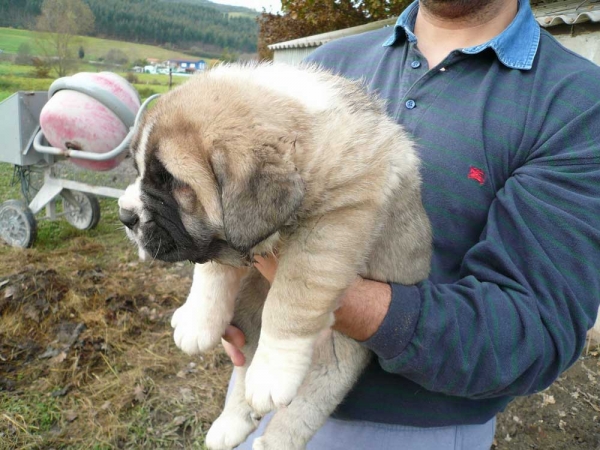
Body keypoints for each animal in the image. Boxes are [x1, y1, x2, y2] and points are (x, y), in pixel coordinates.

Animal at [119, 63, 432, 450]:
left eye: (171, 183)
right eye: (140, 172)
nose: (125, 216)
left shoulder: (338, 218)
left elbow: (292, 298)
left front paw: (274, 370)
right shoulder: (226, 241)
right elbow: (211, 272)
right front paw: (197, 320)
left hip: (336, 359)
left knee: (305, 406)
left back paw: (272, 434)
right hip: (248, 317)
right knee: (244, 375)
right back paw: (231, 423)